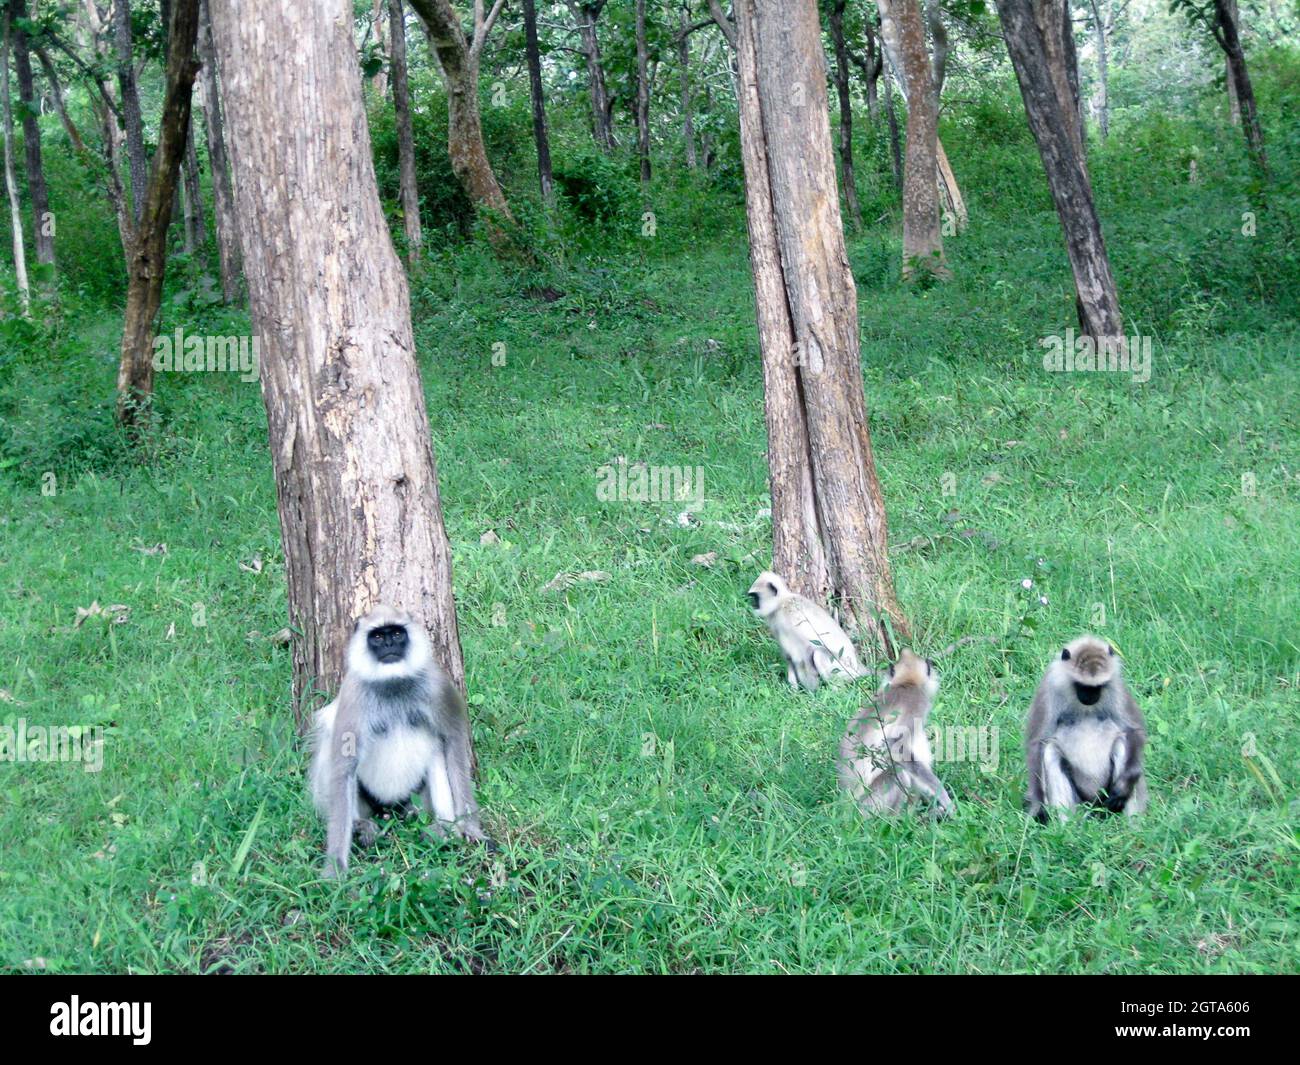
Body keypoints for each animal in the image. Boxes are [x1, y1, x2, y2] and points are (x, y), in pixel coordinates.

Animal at [309, 603, 488, 879]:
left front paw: (470, 828)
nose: (388, 645)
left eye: (396, 633)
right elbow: (343, 766)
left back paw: (442, 828)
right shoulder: (353, 693)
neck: (392, 682)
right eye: (377, 637)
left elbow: (454, 740)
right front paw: (335, 867)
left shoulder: (436, 685)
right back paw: (361, 826)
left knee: (436, 753)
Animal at [832, 650, 956, 816]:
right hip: (870, 804)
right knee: (898, 771)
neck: (906, 683)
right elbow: (895, 743)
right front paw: (944, 798)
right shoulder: (918, 701)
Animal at [1024, 631, 1149, 827]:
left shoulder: (1115, 685)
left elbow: (1133, 730)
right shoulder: (1049, 686)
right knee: (1051, 751)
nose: (1090, 697)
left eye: (1098, 687)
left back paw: (1132, 829)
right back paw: (1069, 829)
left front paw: (1124, 787)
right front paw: (1038, 808)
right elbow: (1037, 742)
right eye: (1082, 686)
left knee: (1122, 742)